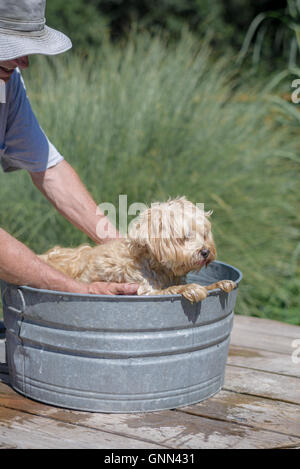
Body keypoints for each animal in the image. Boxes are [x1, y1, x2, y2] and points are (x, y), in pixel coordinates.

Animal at [39, 196, 236, 302]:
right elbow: (171, 289)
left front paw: (219, 283)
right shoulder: (144, 291)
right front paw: (191, 288)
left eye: (204, 234)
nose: (205, 252)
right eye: (185, 236)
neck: (156, 265)